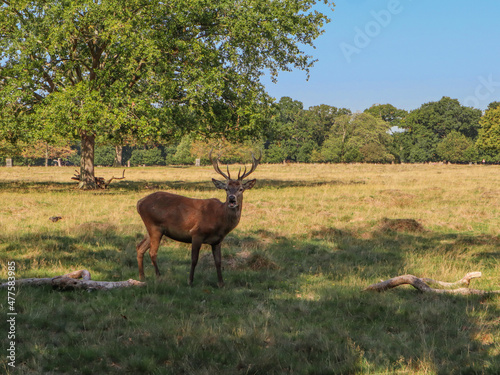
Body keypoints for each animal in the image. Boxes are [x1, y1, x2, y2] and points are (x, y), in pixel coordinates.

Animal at [137, 151, 262, 286]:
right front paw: (190, 281)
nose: (232, 198)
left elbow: (218, 261)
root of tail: (139, 203)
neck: (220, 220)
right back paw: (159, 276)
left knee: (140, 247)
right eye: (226, 189)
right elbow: (194, 259)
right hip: (154, 226)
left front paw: (221, 283)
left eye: (241, 189)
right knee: (152, 252)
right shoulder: (196, 233)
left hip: (152, 229)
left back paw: (142, 276)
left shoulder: (217, 240)